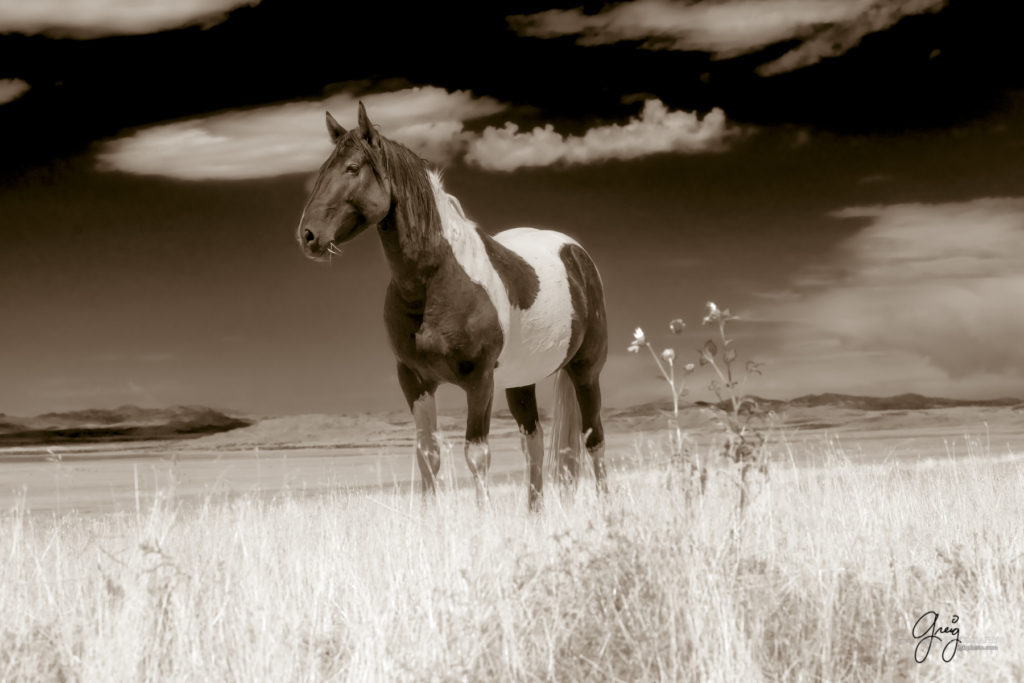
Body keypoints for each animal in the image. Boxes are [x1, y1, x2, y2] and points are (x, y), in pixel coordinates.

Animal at [294, 100, 606, 507]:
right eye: (321, 171)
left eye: (352, 168)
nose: (307, 236)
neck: (434, 280)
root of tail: (576, 253)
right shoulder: (415, 380)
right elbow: (427, 454)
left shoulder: (480, 381)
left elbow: (477, 454)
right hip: (521, 381)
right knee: (534, 445)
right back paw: (534, 514)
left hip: (586, 372)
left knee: (594, 439)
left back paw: (608, 508)